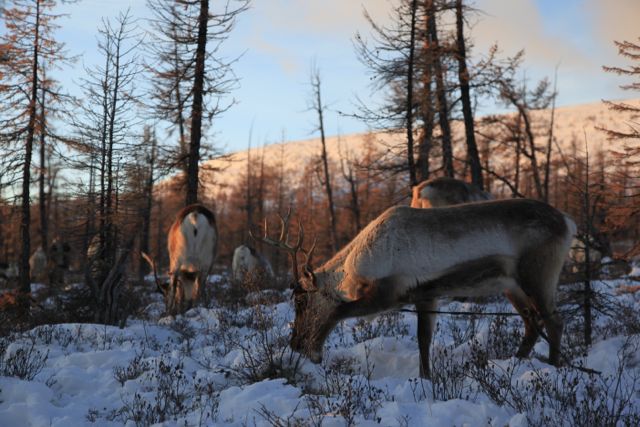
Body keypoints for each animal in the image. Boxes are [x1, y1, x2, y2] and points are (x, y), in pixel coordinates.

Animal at [256, 199, 576, 378]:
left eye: (301, 302)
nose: (295, 344)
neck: (353, 269)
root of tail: (568, 221)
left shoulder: (387, 294)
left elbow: (337, 313)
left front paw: (316, 352)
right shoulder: (426, 295)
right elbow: (424, 340)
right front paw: (426, 378)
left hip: (537, 275)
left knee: (554, 321)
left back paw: (554, 366)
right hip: (511, 286)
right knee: (532, 323)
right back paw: (514, 363)